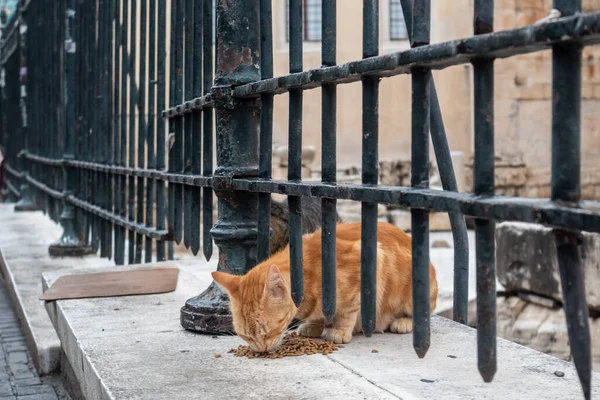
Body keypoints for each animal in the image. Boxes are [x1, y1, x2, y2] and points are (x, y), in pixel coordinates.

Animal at [213, 222, 438, 354]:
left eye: (269, 332)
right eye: (246, 336)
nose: (261, 350)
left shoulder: (368, 262)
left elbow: (347, 311)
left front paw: (339, 330)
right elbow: (318, 314)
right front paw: (314, 325)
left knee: (422, 316)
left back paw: (403, 322)